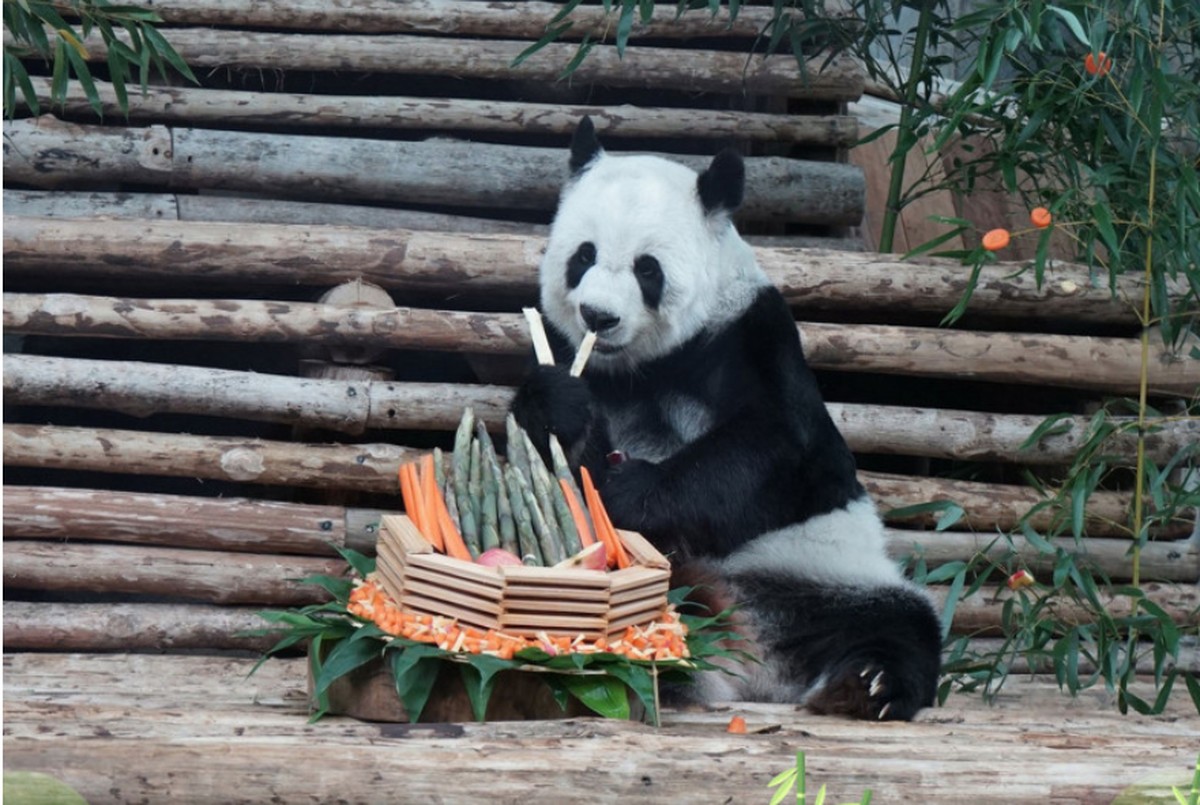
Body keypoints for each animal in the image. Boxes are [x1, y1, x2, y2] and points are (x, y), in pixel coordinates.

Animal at [511, 117, 942, 721]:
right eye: (582, 257)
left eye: (647, 268)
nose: (599, 315)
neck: (640, 367)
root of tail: (752, 668)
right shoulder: (566, 346)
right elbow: (560, 475)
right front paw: (559, 407)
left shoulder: (749, 335)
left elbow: (772, 448)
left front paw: (630, 490)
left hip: (830, 574)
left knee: (901, 624)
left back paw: (866, 685)